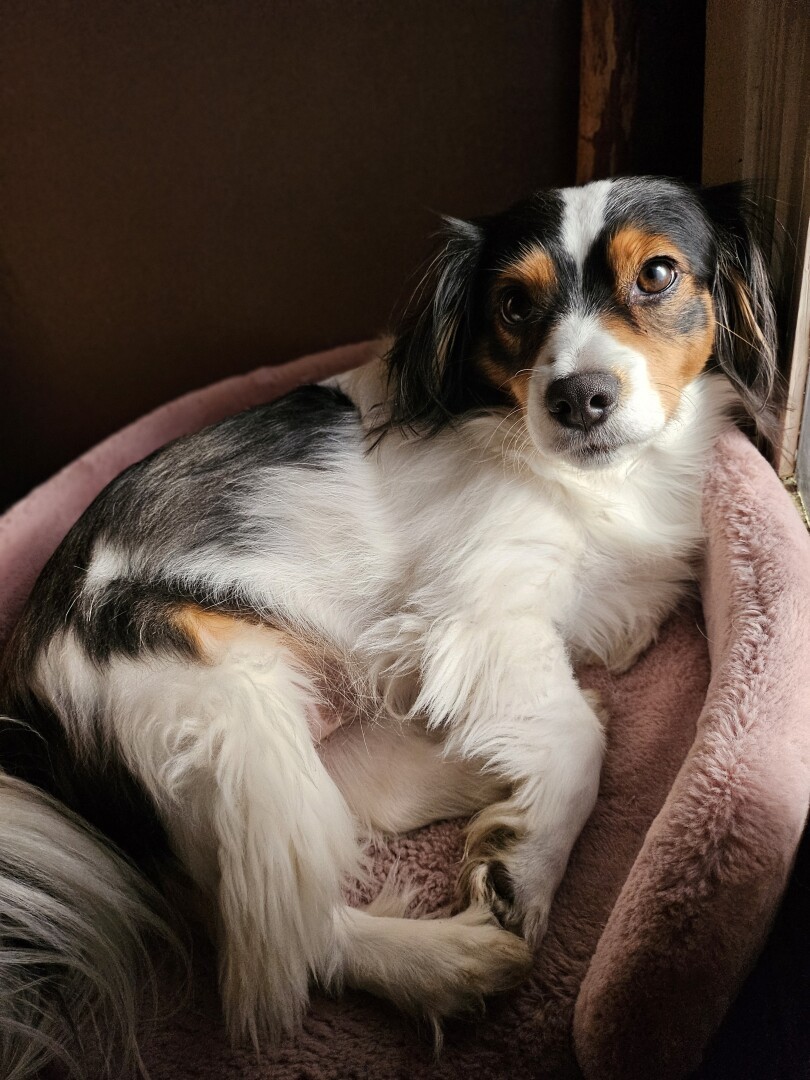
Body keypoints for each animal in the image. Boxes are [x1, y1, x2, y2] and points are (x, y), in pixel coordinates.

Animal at [0, 174, 781, 1071]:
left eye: (657, 274)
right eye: (514, 304)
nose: (576, 398)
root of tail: (27, 693)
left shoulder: (608, 611)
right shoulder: (478, 619)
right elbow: (576, 741)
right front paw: (526, 870)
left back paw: (472, 777)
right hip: (223, 708)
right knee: (284, 943)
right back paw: (445, 961)